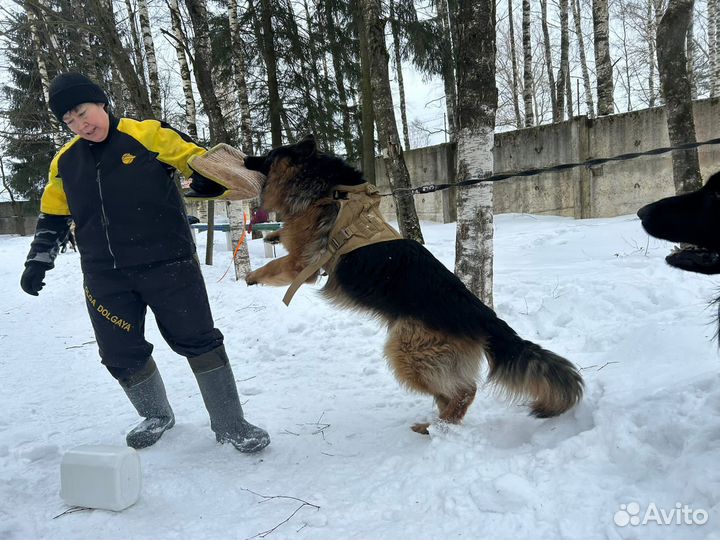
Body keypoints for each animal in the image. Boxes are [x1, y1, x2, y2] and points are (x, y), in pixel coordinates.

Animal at [245, 136, 584, 434]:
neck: (331, 190)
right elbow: (280, 240)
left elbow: (274, 265)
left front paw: (251, 276)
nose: (246, 158)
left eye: (269, 155)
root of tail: (485, 318)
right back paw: (439, 422)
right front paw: (271, 235)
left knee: (465, 391)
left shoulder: (301, 264)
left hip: (407, 351)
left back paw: (435, 428)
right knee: (452, 392)